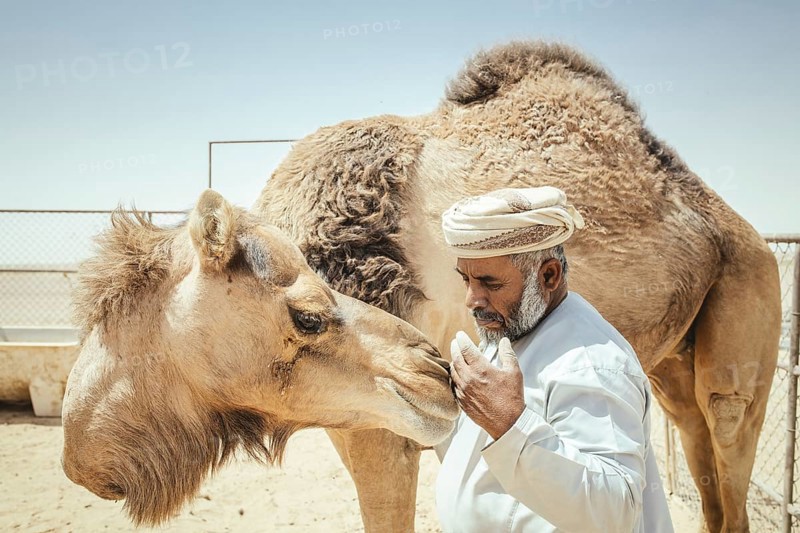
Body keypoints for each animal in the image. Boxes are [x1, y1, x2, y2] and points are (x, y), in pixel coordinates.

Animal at [253, 42, 781, 532]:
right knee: (691, 423)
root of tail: (740, 228)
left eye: (488, 279)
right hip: (677, 349)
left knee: (727, 413)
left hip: (750, 279)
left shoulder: (385, 407)